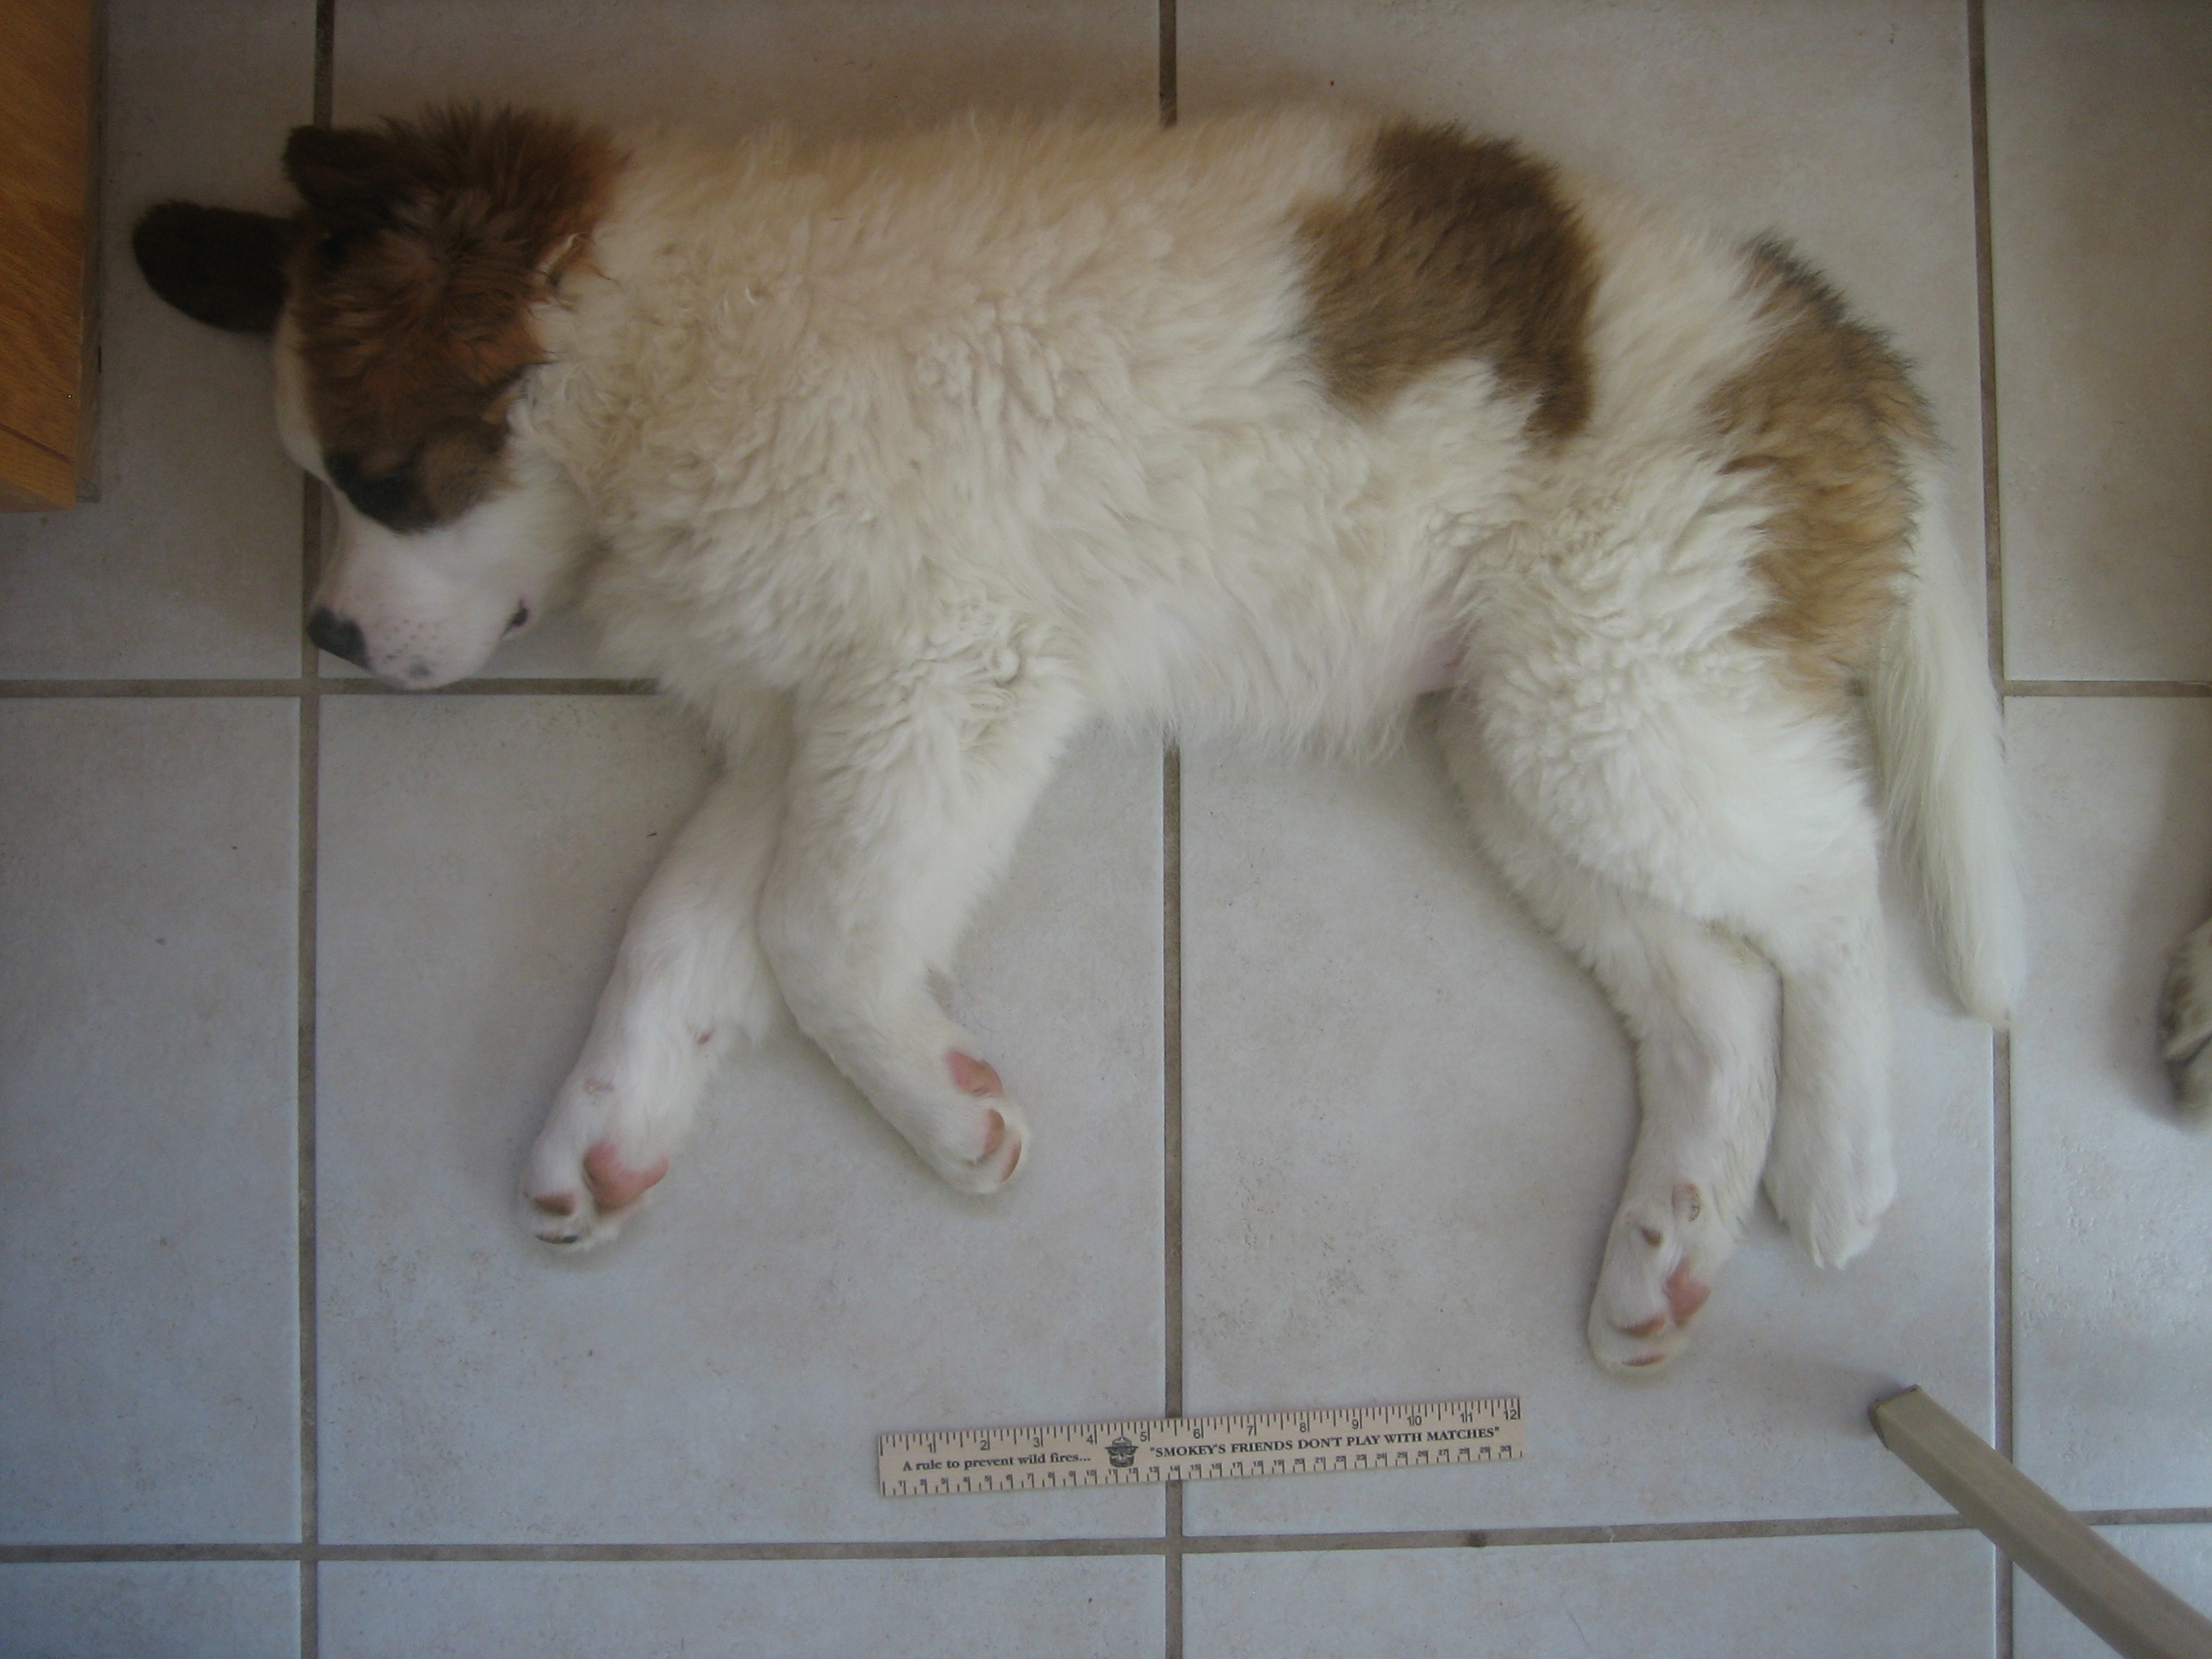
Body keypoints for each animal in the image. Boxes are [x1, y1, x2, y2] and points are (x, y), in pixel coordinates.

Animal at [134, 103, 2023, 1373]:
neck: (655, 349)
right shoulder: (816, 714)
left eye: (382, 481)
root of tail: (1820, 327)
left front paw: (942, 1109)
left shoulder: (941, 668)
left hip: (1614, 679)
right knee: (1712, 988)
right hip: (1532, 729)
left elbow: (815, 937)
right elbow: (685, 924)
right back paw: (1667, 1251)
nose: (329, 642)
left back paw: (1837, 1164)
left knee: (1831, 877)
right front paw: (603, 1134)